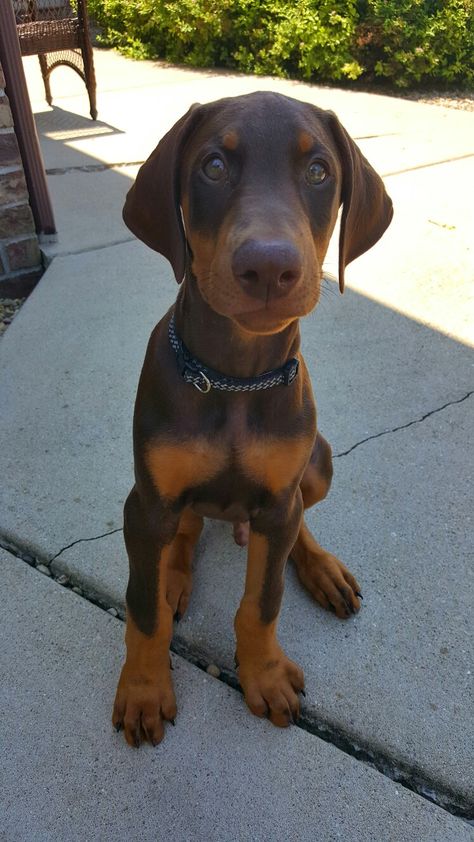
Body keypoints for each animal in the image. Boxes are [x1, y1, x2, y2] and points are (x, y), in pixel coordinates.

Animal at [112, 93, 392, 748]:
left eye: (318, 171)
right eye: (213, 166)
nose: (269, 269)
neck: (235, 379)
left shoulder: (278, 496)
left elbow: (263, 601)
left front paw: (263, 673)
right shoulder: (147, 501)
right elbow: (142, 608)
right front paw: (143, 688)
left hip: (317, 463)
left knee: (295, 525)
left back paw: (321, 569)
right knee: (184, 533)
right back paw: (173, 575)